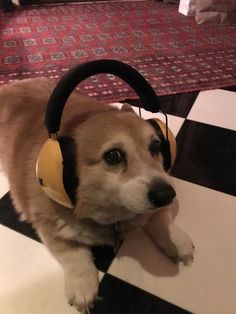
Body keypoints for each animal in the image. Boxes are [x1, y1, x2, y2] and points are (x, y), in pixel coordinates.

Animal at [0, 77, 195, 312]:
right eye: (113, 155)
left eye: (156, 146)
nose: (167, 195)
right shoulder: (48, 226)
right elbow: (73, 253)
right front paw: (84, 286)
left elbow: (159, 217)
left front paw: (176, 239)